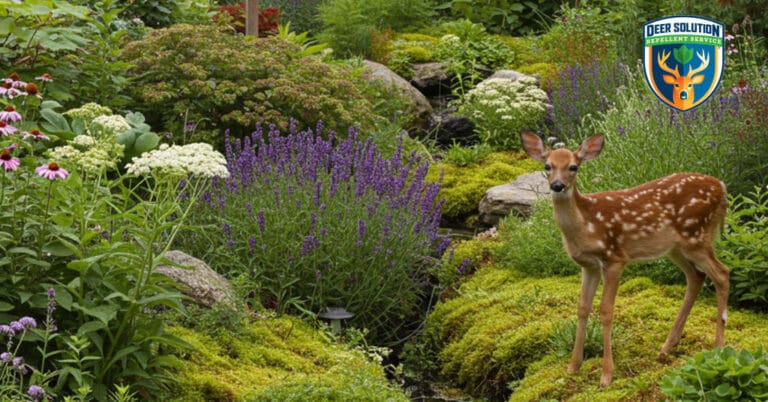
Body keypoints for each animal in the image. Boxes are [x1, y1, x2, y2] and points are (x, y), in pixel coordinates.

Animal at [520, 132, 729, 387]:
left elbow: (606, 310)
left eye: (573, 166)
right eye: (547, 166)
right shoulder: (588, 265)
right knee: (696, 276)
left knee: (722, 273)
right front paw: (572, 367)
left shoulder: (614, 258)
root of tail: (722, 186)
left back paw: (718, 347)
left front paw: (606, 375)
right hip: (675, 247)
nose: (557, 185)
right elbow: (582, 307)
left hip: (696, 235)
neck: (586, 224)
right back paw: (666, 347)